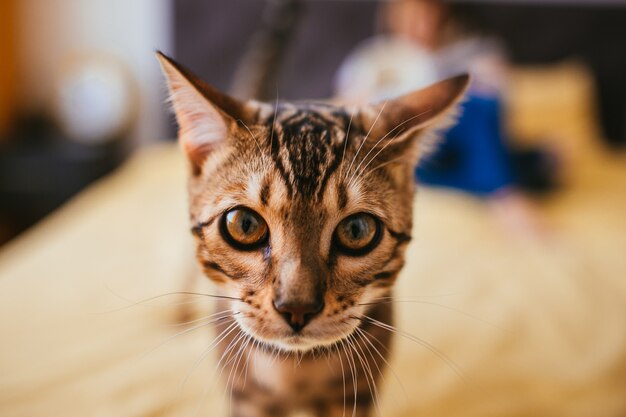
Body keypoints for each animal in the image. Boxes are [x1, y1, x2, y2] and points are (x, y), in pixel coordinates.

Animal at [157, 52, 468, 416]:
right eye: (244, 225)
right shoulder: (247, 397)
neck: (296, 371)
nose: (297, 308)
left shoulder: (355, 395)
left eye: (357, 230)